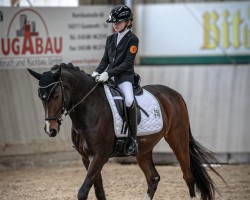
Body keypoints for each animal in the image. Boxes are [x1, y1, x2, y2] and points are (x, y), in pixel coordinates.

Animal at [27, 63, 225, 200]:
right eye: (41, 97)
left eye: (56, 95)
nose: (50, 129)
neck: (89, 108)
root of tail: (174, 94)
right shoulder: (87, 158)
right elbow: (99, 191)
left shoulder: (99, 156)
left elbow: (83, 191)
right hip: (143, 150)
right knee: (153, 178)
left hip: (178, 139)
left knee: (188, 176)